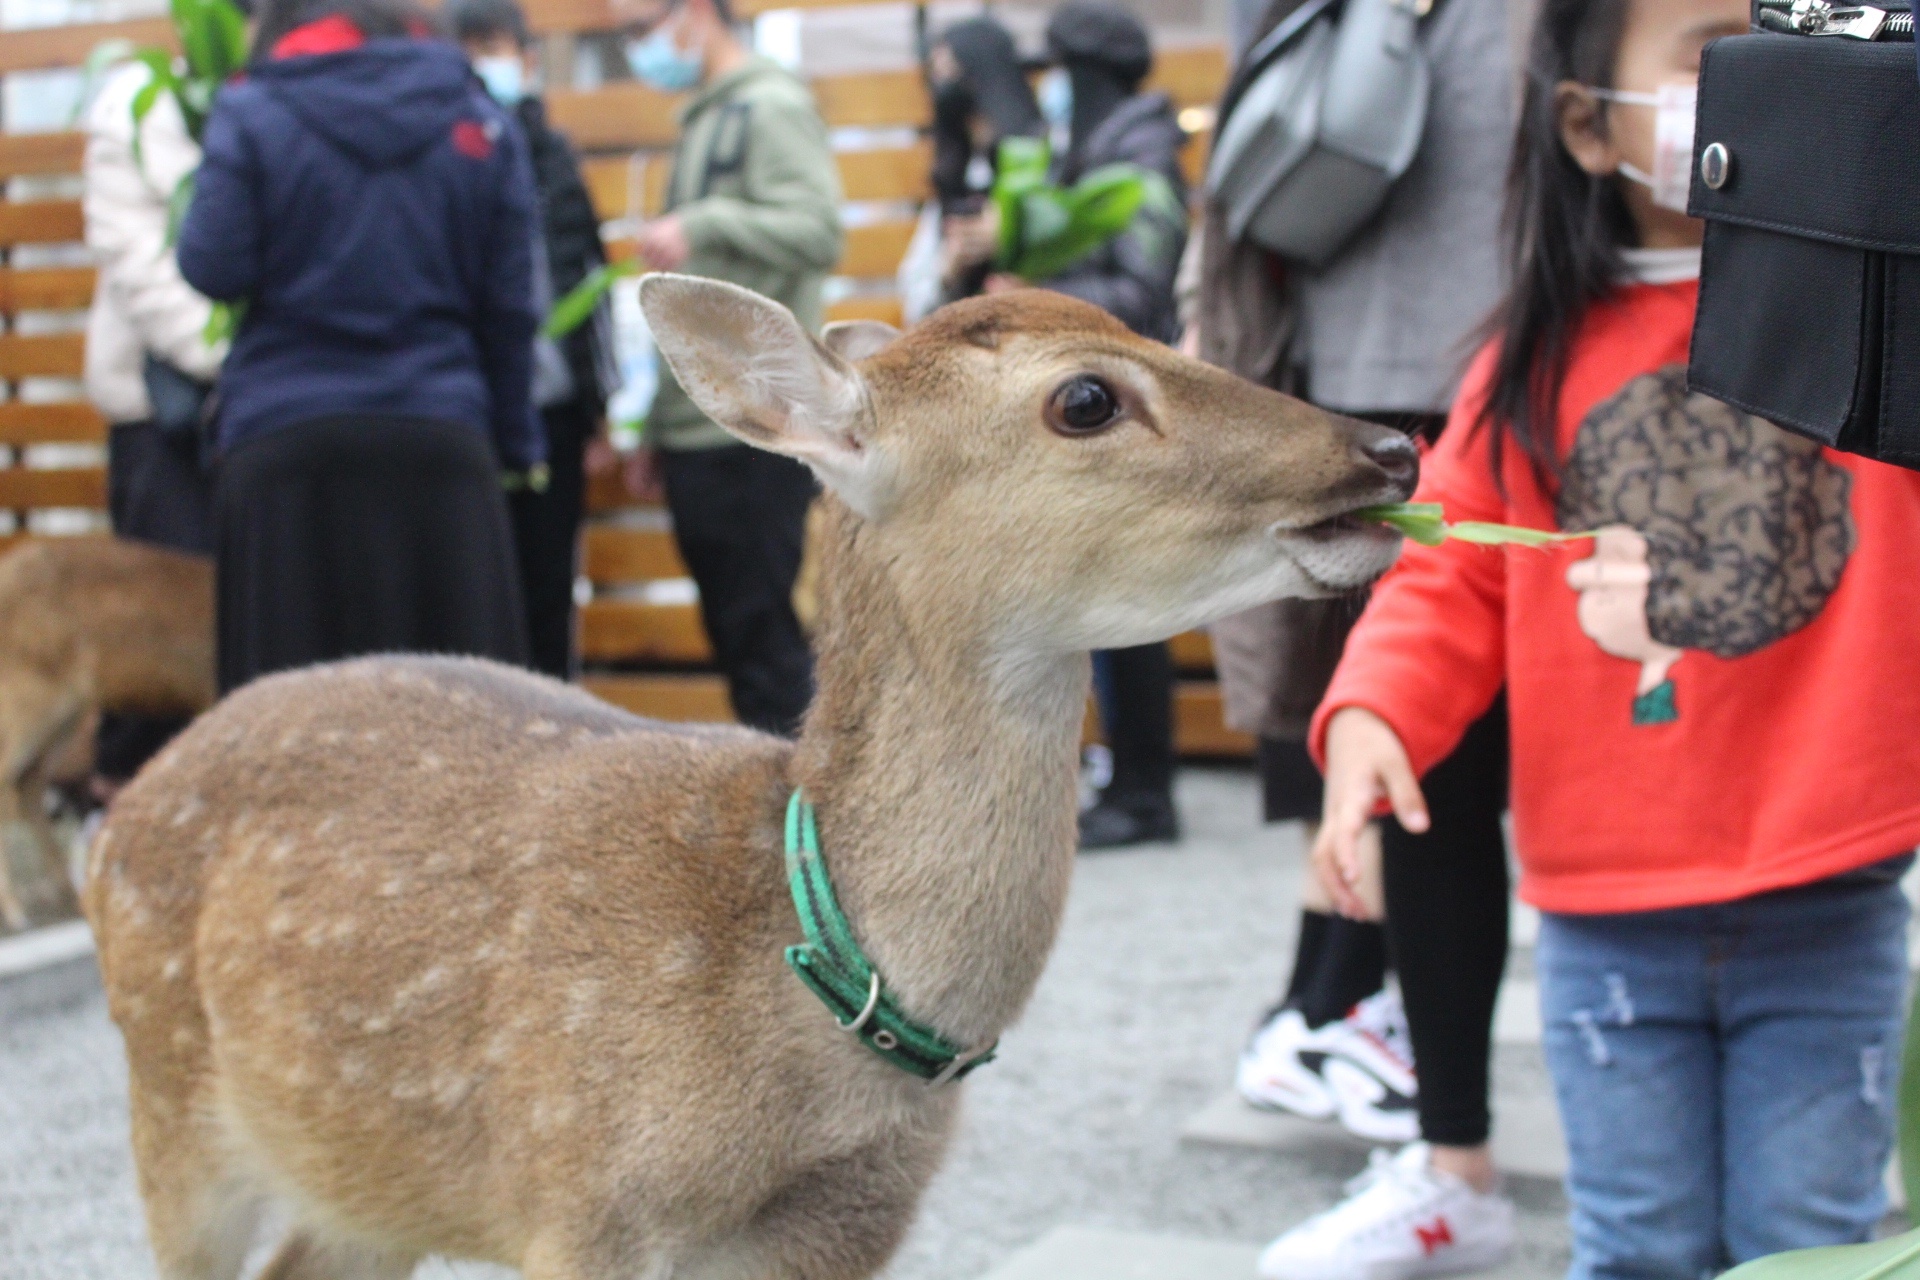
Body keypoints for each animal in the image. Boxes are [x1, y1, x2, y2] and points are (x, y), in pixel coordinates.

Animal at [86, 280, 1413, 1280]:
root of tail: (118, 816)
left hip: (360, 1170)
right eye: (1085, 397)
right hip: (170, 1101)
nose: (1390, 444)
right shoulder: (576, 1200)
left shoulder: (841, 1238)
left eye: (1162, 332)